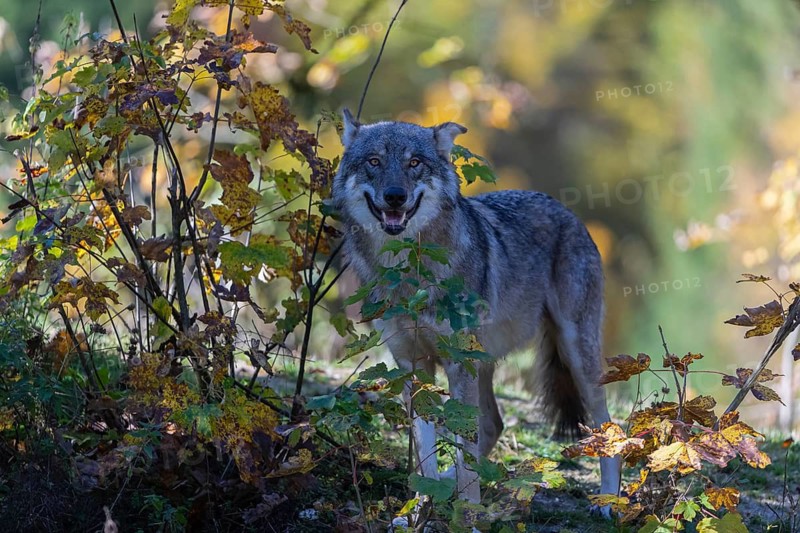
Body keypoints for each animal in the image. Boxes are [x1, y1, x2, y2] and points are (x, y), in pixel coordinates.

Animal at [331, 109, 621, 509]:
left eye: (414, 163)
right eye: (374, 162)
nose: (395, 197)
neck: (409, 276)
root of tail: (565, 209)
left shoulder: (456, 363)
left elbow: (462, 447)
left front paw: (467, 510)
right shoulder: (412, 366)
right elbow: (425, 452)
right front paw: (420, 504)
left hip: (575, 355)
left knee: (608, 427)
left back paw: (609, 502)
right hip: (483, 361)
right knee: (493, 424)